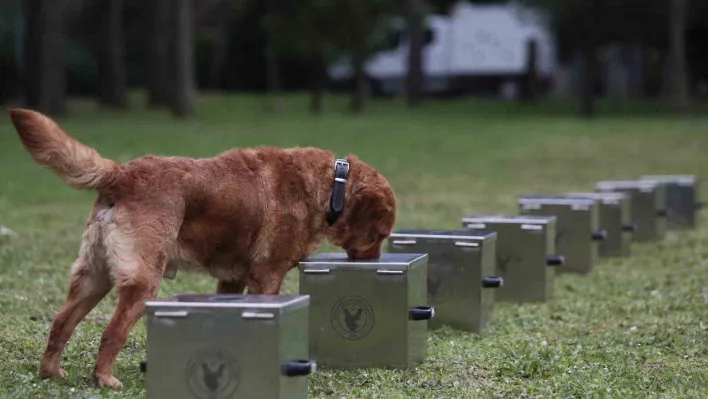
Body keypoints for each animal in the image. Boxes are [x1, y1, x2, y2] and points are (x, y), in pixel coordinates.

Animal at [8, 108, 396, 390]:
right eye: (379, 235)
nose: (375, 264)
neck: (332, 188)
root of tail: (121, 173)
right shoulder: (267, 275)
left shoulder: (232, 279)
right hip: (143, 280)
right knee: (112, 331)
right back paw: (104, 379)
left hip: (94, 275)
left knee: (62, 321)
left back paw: (51, 372)